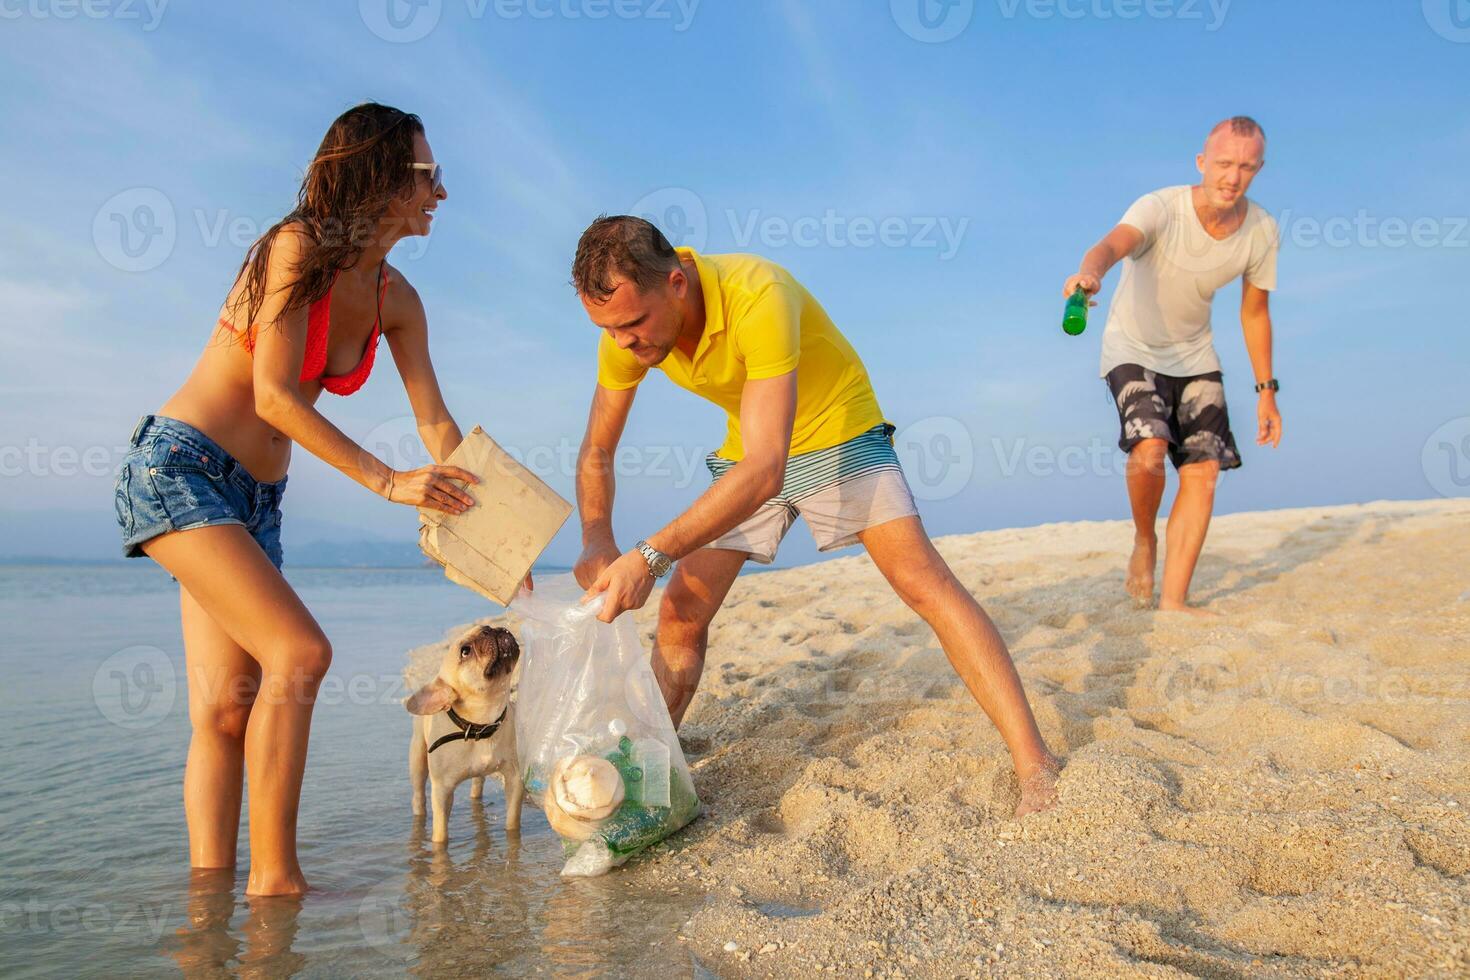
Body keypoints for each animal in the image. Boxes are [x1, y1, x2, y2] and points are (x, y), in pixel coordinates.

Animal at [405, 628, 526, 846]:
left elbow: (512, 821)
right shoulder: (442, 790)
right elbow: (440, 832)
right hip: (417, 757)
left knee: (477, 783)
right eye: (465, 651)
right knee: (418, 795)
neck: (480, 725)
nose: (490, 629)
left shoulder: (514, 777)